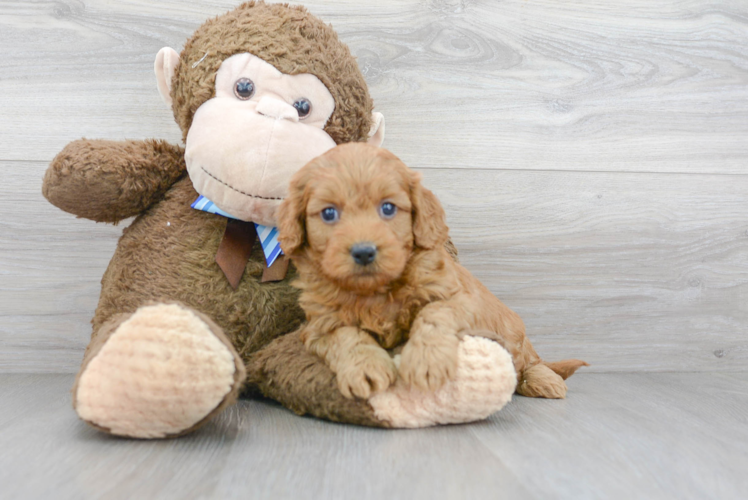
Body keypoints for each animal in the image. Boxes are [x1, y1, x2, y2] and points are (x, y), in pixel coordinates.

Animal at [278, 144, 588, 398]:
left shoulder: (460, 298)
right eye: (329, 213)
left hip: (515, 334)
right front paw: (366, 368)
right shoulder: (319, 326)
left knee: (531, 361)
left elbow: (433, 313)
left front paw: (426, 362)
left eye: (388, 208)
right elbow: (347, 336)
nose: (364, 251)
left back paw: (543, 381)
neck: (375, 291)